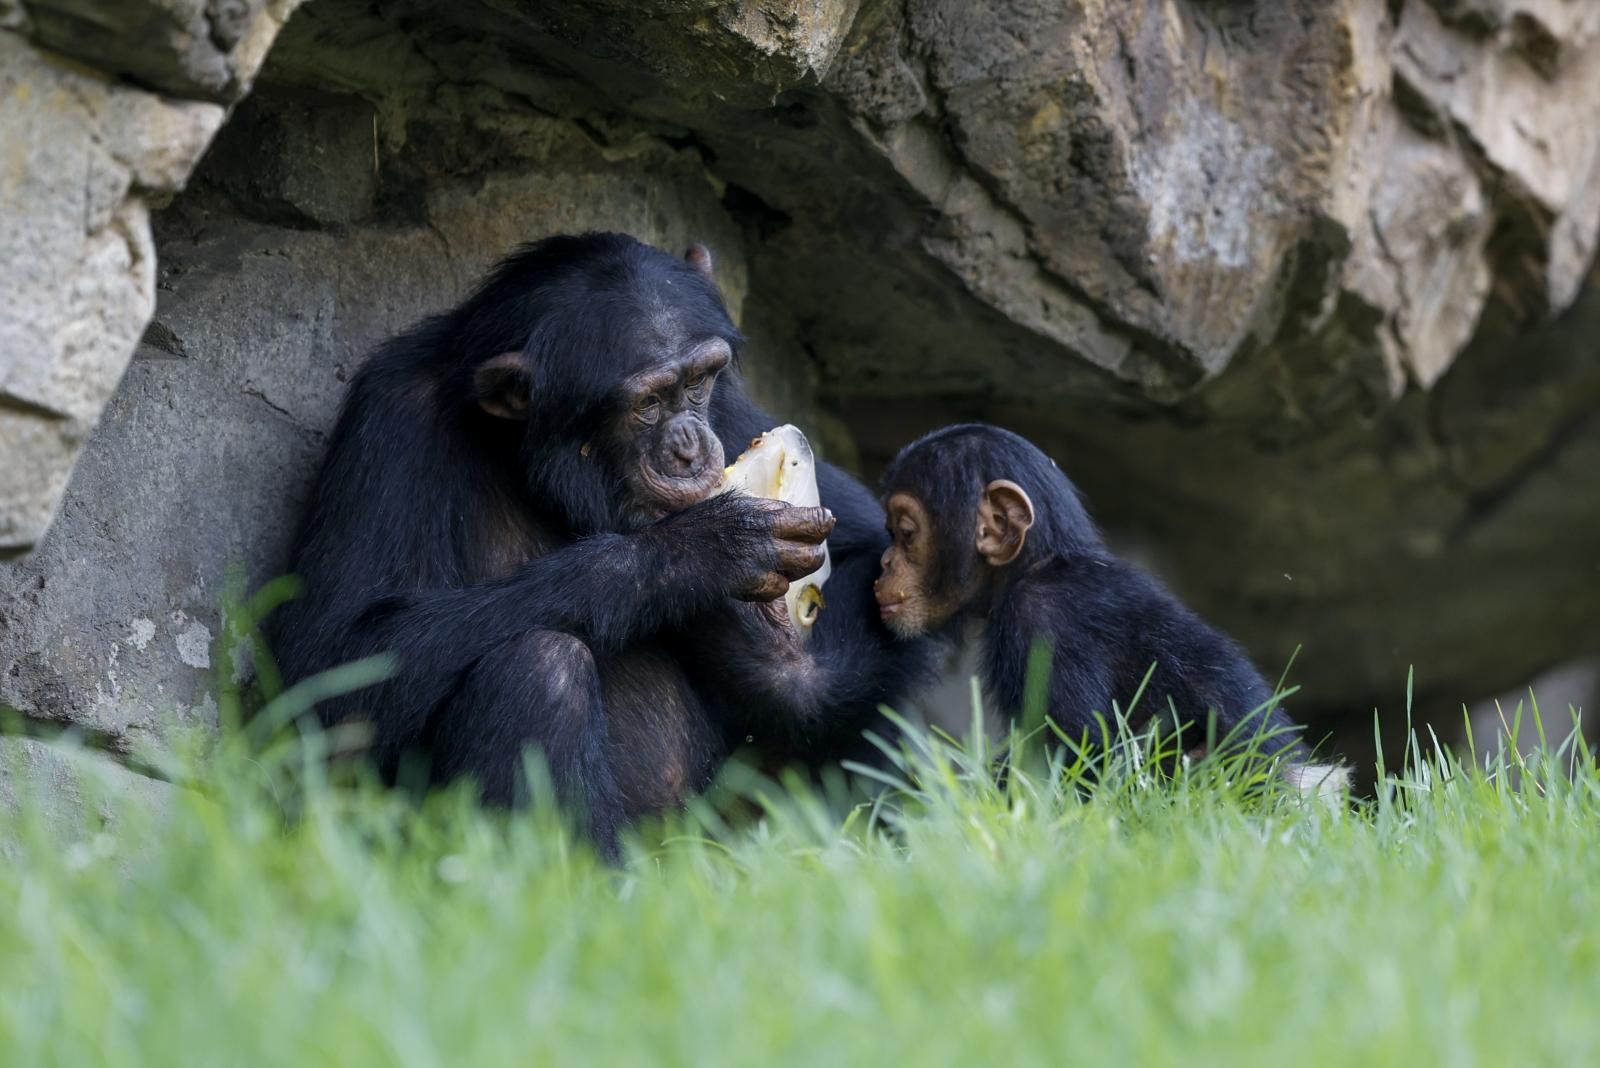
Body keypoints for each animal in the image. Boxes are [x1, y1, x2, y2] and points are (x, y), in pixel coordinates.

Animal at [267, 230, 934, 856]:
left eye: (699, 381)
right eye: (647, 404)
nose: (692, 445)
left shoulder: (735, 412)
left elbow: (876, 550)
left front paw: (759, 647)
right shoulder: (390, 416)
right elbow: (333, 664)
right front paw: (702, 557)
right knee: (541, 667)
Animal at [876, 422, 1350, 796]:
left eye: (906, 533)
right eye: (892, 532)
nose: (885, 563)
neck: (1036, 567)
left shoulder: (1042, 624)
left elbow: (1082, 755)